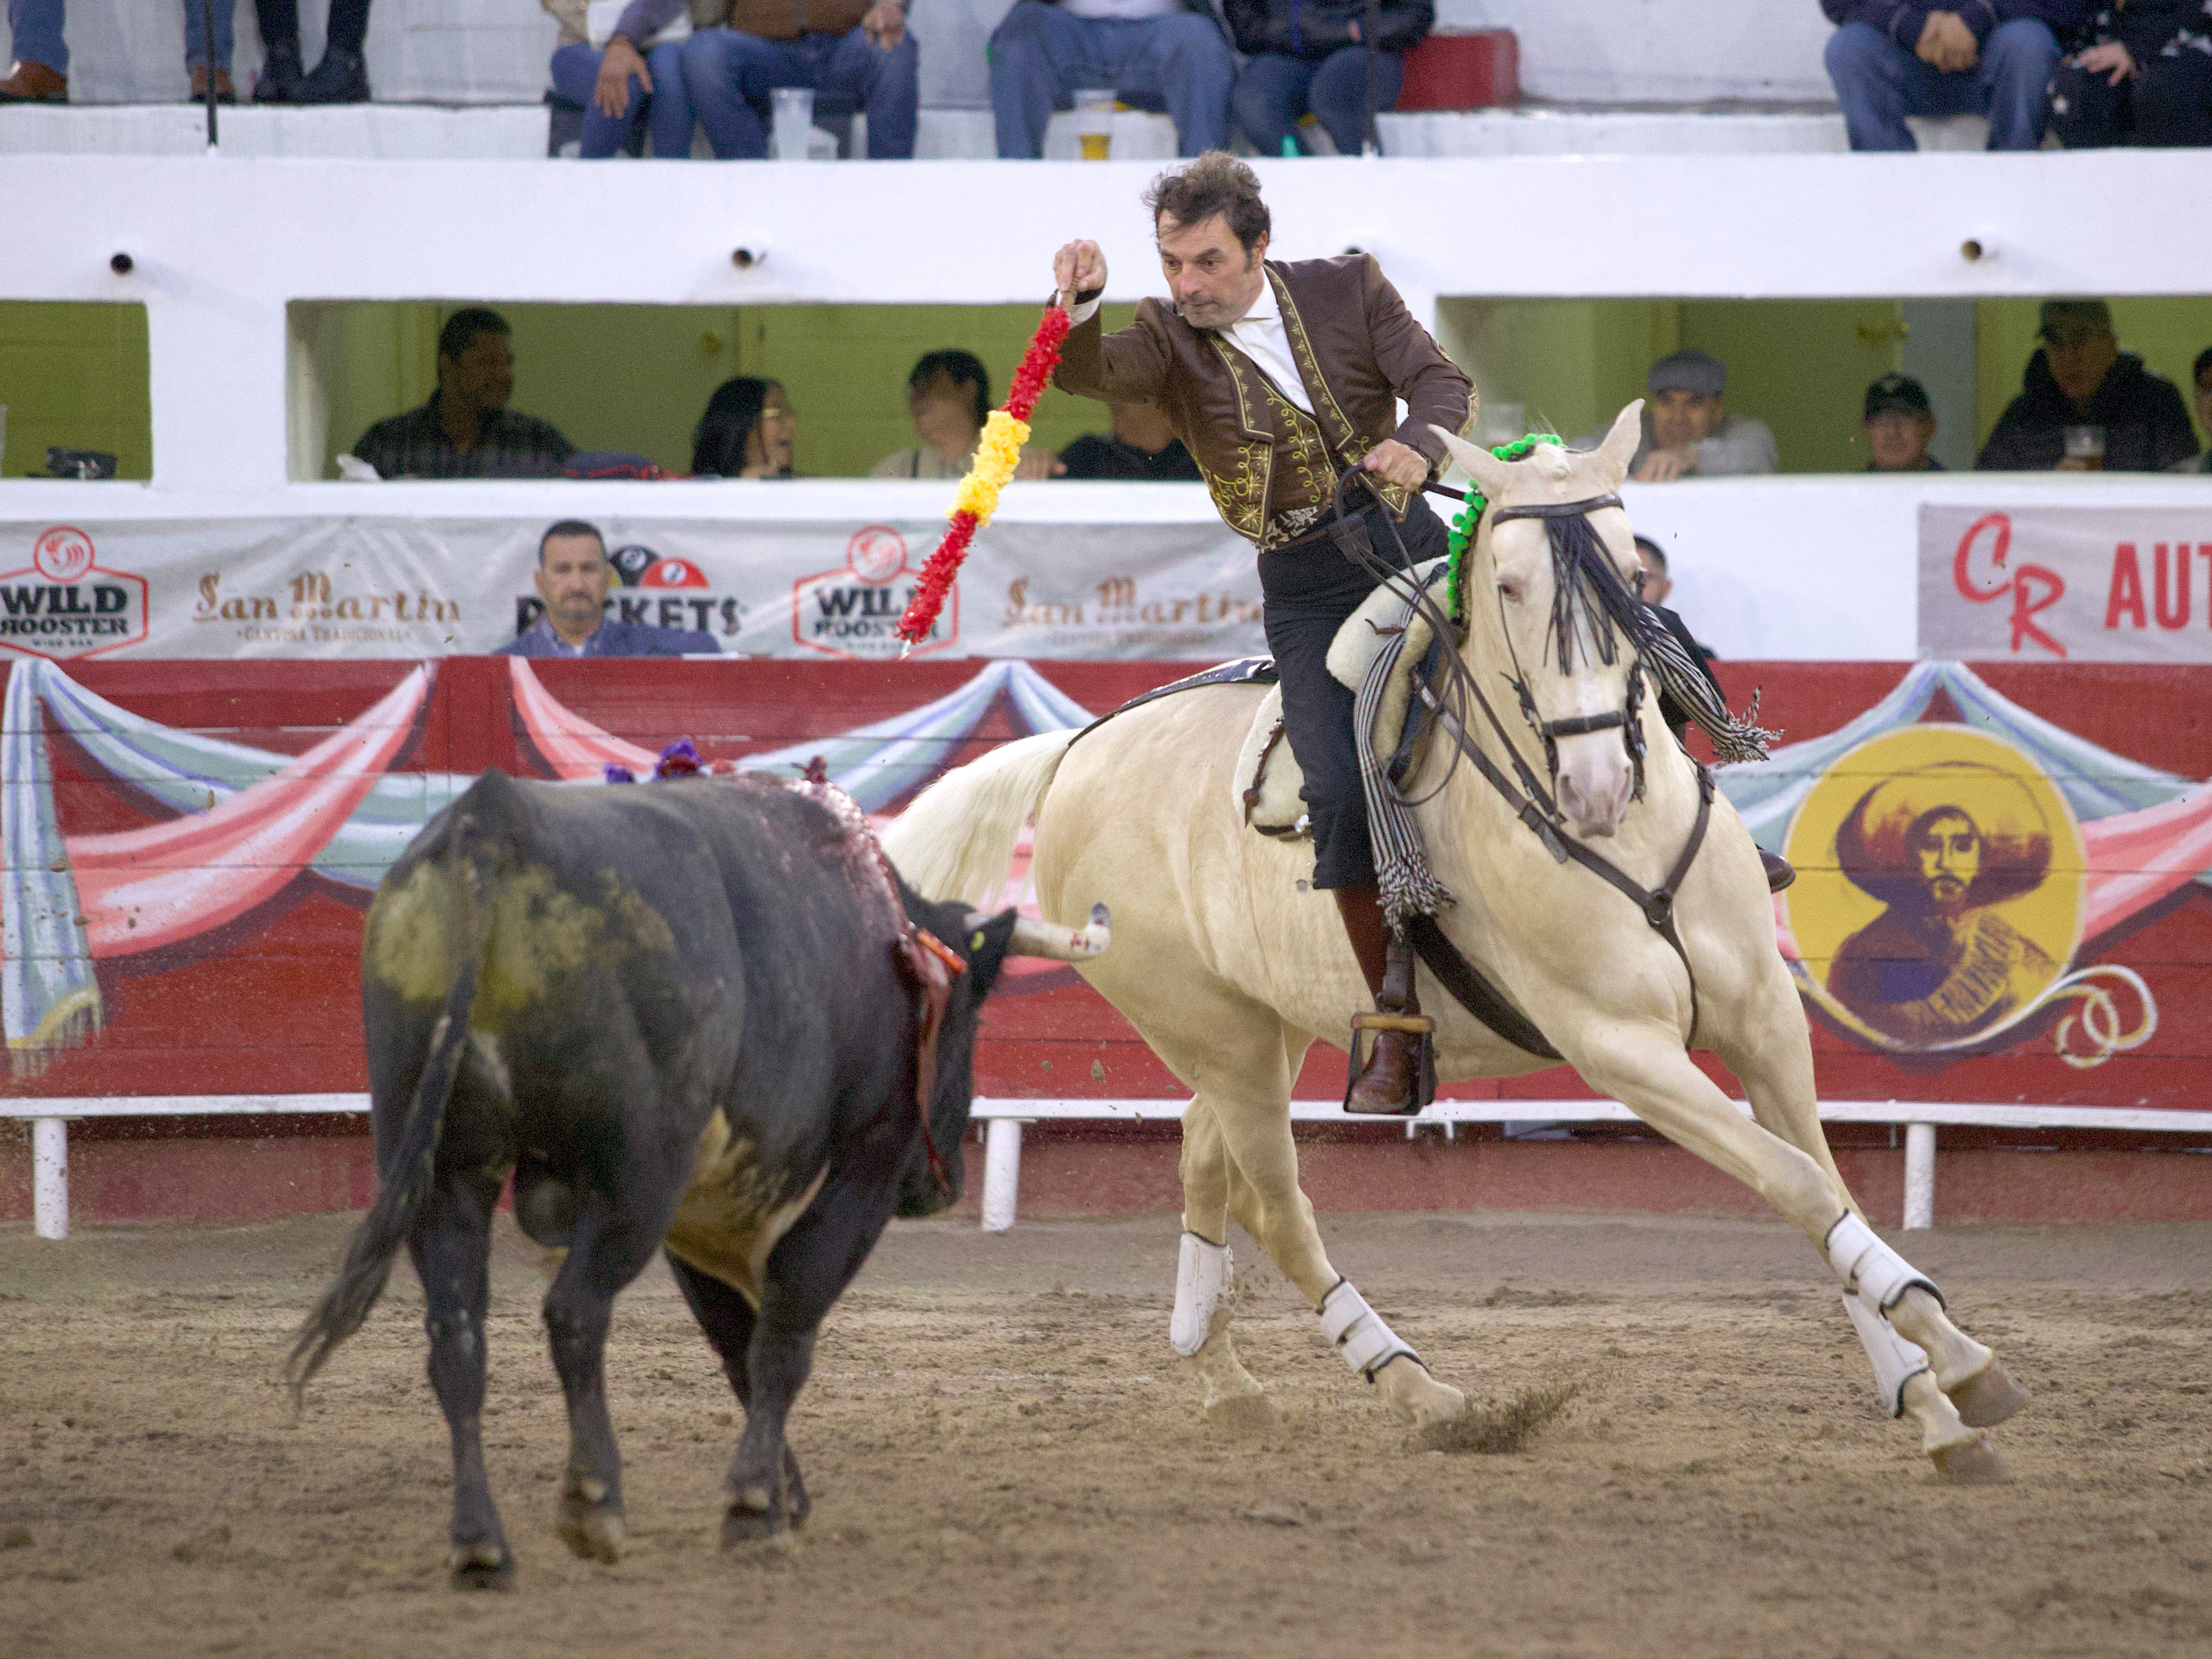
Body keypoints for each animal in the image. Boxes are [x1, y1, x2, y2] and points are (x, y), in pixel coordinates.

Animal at [290, 774, 1101, 1592]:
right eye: (971, 1019)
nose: (946, 1180)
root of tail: (495, 815)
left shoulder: (701, 1212)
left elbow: (738, 1344)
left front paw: (781, 1495)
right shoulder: (854, 1179)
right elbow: (783, 1336)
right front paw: (754, 1507)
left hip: (442, 1170)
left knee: (456, 1335)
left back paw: (482, 1543)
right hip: (638, 1176)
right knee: (576, 1311)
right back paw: (594, 1501)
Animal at [889, 406, 2026, 1477]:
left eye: (1625, 574)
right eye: (1510, 586)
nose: (1594, 785)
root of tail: (1075, 748)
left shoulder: (1761, 1019)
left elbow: (1822, 1184)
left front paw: (1927, 1401)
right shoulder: (1619, 1045)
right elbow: (1792, 1181)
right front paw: (1960, 1365)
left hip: (1259, 1025)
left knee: (1211, 1163)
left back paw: (1222, 1375)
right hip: (1211, 1030)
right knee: (1281, 1207)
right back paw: (1420, 1392)